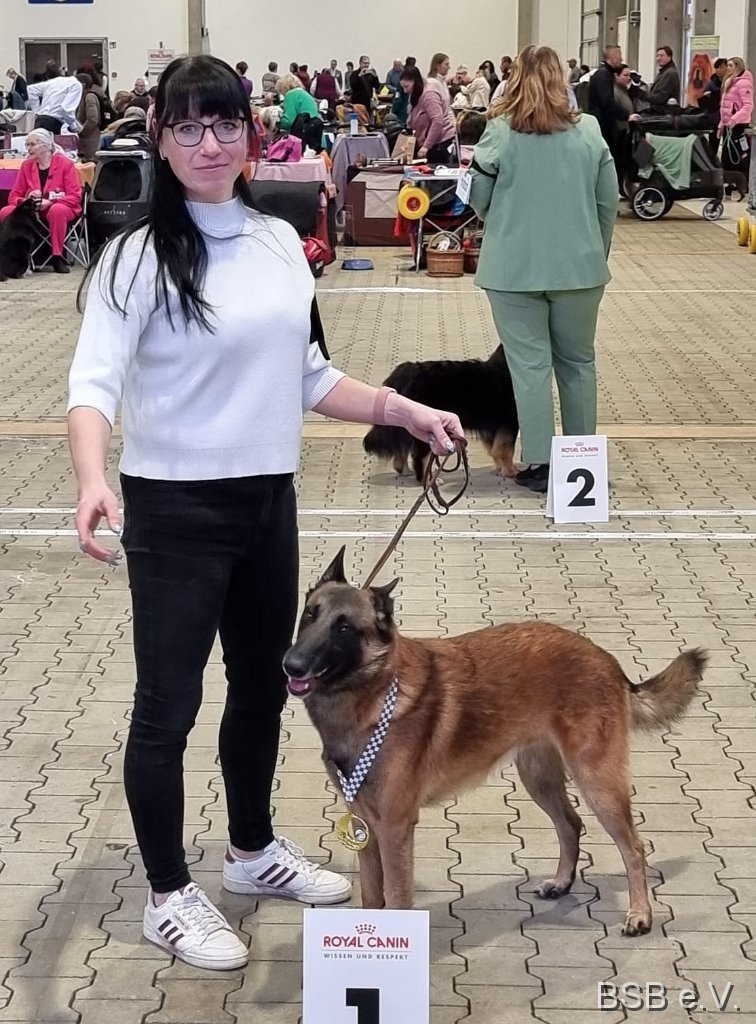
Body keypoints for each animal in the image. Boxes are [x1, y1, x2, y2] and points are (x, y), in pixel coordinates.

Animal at [283, 548, 707, 936]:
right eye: (310, 614)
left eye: (343, 628)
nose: (291, 665)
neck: (374, 693)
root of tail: (607, 659)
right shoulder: (366, 827)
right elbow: (373, 898)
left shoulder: (395, 829)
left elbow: (398, 900)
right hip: (539, 778)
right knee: (570, 824)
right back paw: (562, 882)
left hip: (597, 782)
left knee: (633, 847)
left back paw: (640, 914)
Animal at [363, 348, 519, 481]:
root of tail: (407, 371)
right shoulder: (510, 422)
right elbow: (507, 450)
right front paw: (510, 471)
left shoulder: (493, 427)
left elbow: (495, 448)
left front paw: (500, 467)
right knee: (419, 456)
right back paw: (427, 480)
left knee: (401, 446)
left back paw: (404, 470)